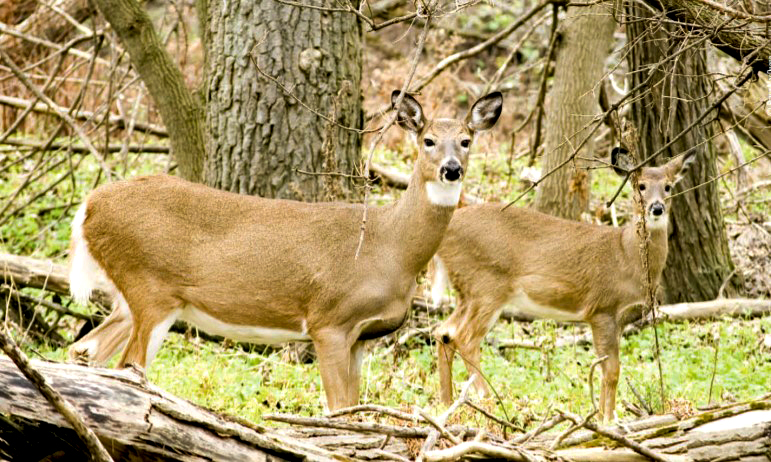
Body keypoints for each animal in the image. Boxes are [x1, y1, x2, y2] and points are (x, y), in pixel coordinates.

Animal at [68, 89, 506, 412]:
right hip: (150, 287)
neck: (390, 247)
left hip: (131, 296)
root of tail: (88, 205)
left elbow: (352, 407)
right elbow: (336, 409)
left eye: (466, 141)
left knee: (85, 350)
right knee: (127, 365)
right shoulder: (329, 320)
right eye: (428, 141)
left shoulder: (362, 336)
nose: (451, 169)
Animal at [434, 149, 692, 422]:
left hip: (468, 290)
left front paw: (602, 418)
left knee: (444, 332)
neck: (626, 254)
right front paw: (608, 420)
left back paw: (446, 403)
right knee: (465, 339)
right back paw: (489, 401)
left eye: (668, 186)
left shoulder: (619, 319)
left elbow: (605, 368)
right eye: (640, 186)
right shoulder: (602, 308)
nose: (657, 208)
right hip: (487, 285)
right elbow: (612, 370)